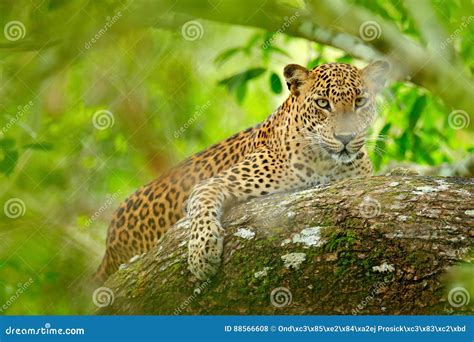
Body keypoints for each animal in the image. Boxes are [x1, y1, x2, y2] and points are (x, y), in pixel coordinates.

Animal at [95, 60, 388, 282]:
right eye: (323, 103)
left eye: (360, 101)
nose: (346, 137)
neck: (327, 163)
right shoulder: (214, 183)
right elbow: (202, 204)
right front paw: (202, 253)